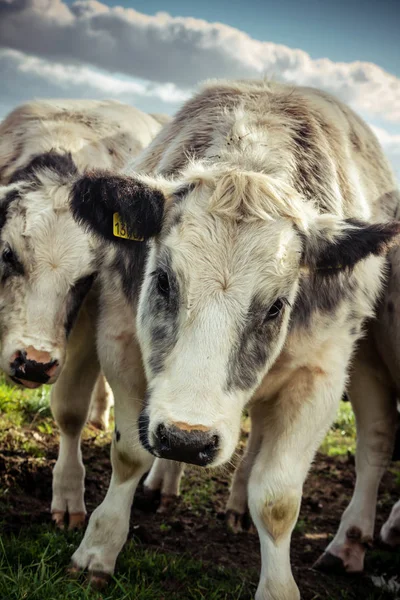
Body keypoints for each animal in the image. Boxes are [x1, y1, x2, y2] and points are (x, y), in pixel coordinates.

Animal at [69, 81, 400, 600]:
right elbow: (129, 452)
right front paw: (99, 547)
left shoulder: (320, 377)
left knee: (371, 441)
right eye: (162, 280)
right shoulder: (119, 338)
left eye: (277, 306)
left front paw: (278, 587)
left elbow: (278, 499)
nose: (187, 440)